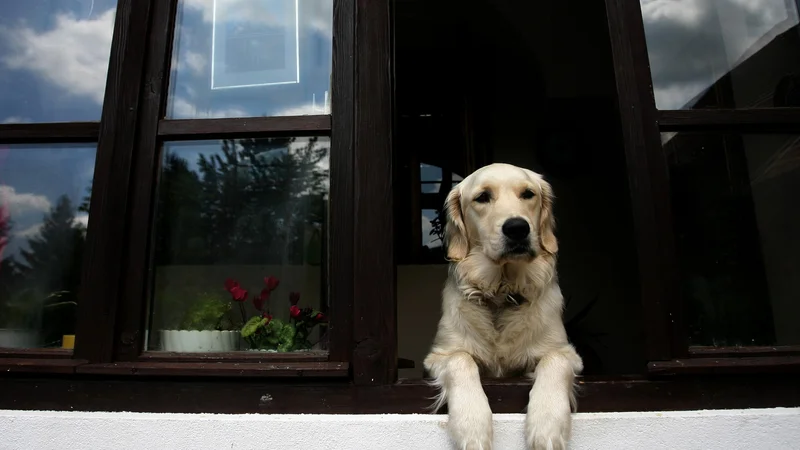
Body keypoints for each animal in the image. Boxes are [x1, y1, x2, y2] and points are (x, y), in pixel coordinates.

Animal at [424, 163, 580, 448]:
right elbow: (461, 359)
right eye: (482, 197)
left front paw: (547, 426)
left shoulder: (566, 352)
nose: (517, 228)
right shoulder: (440, 354)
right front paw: (472, 426)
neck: (502, 293)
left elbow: (553, 360)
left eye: (528, 194)